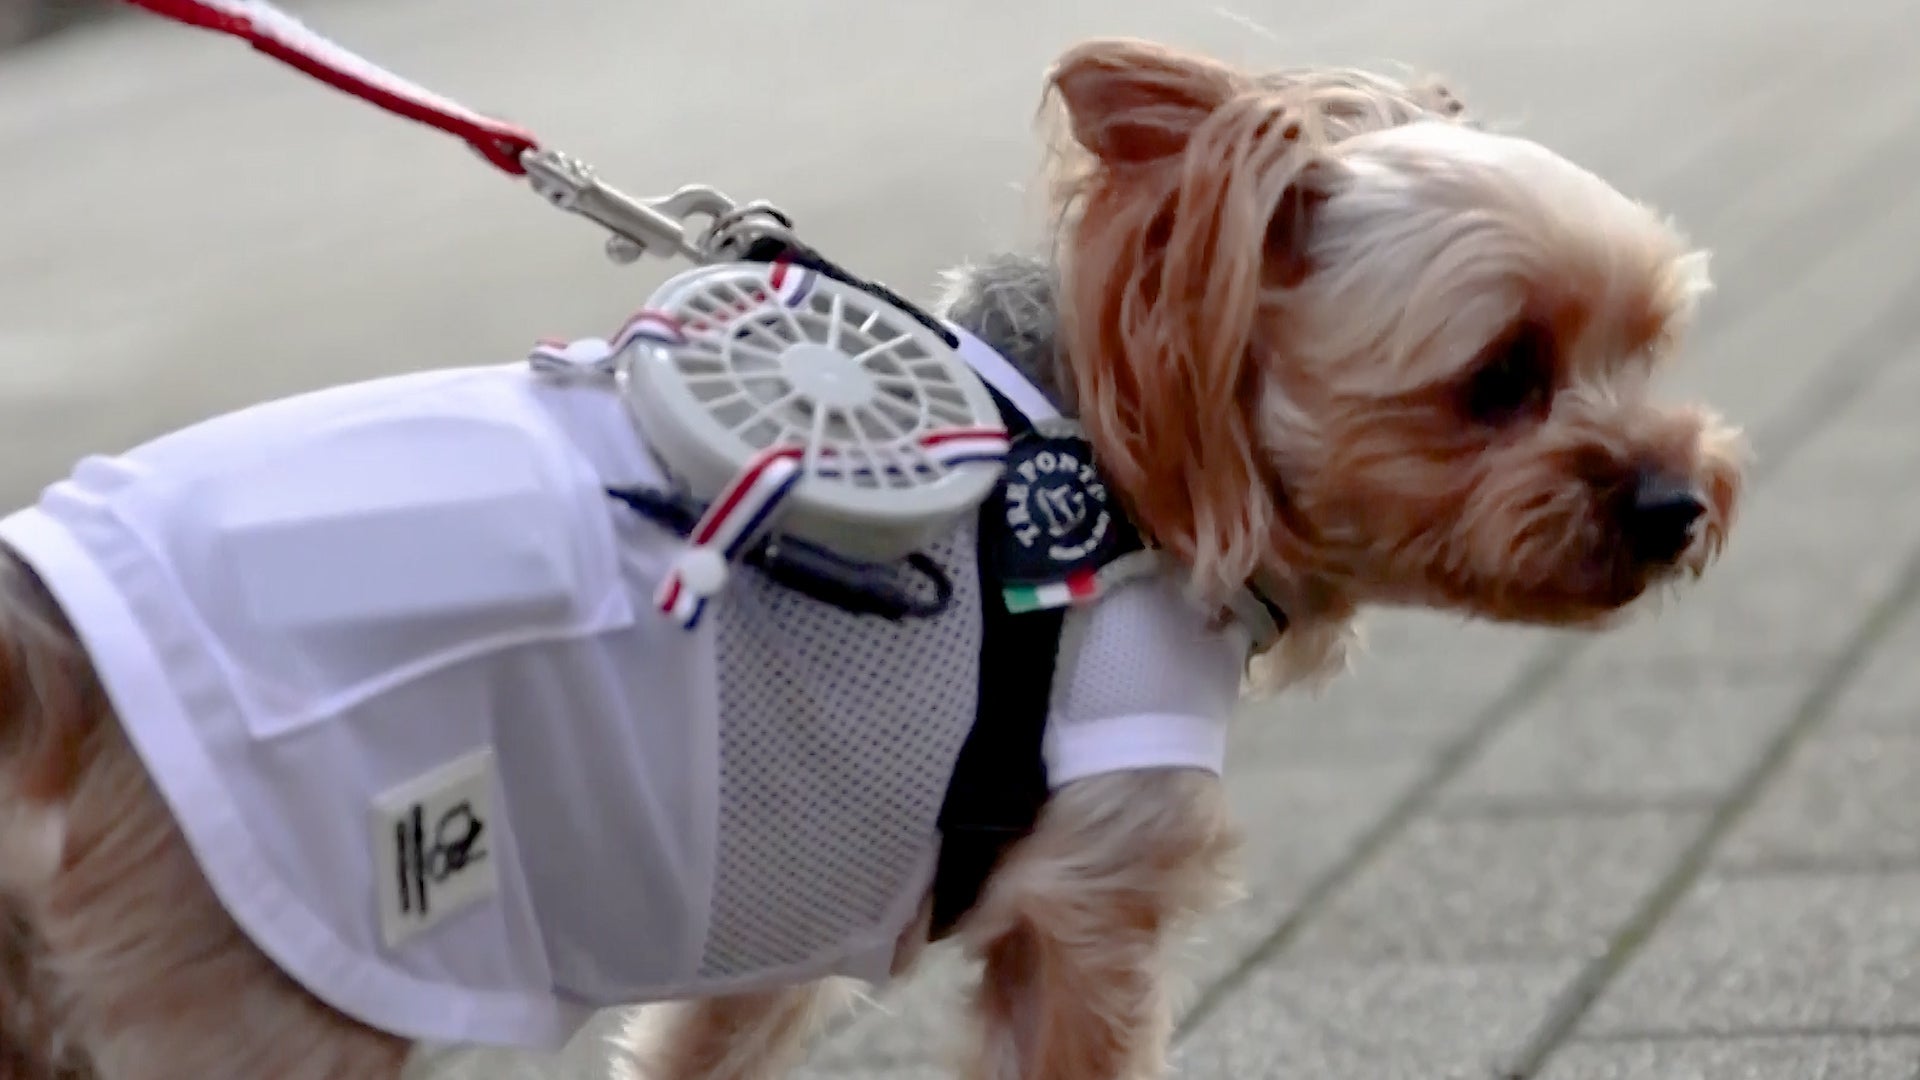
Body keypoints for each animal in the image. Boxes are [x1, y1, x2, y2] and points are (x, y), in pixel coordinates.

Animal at [0, 35, 1743, 1076]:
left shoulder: (771, 925)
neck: (1122, 465)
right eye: (1500, 378)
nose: (1683, 504)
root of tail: (50, 638)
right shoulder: (1090, 899)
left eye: (1646, 344)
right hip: (273, 985)